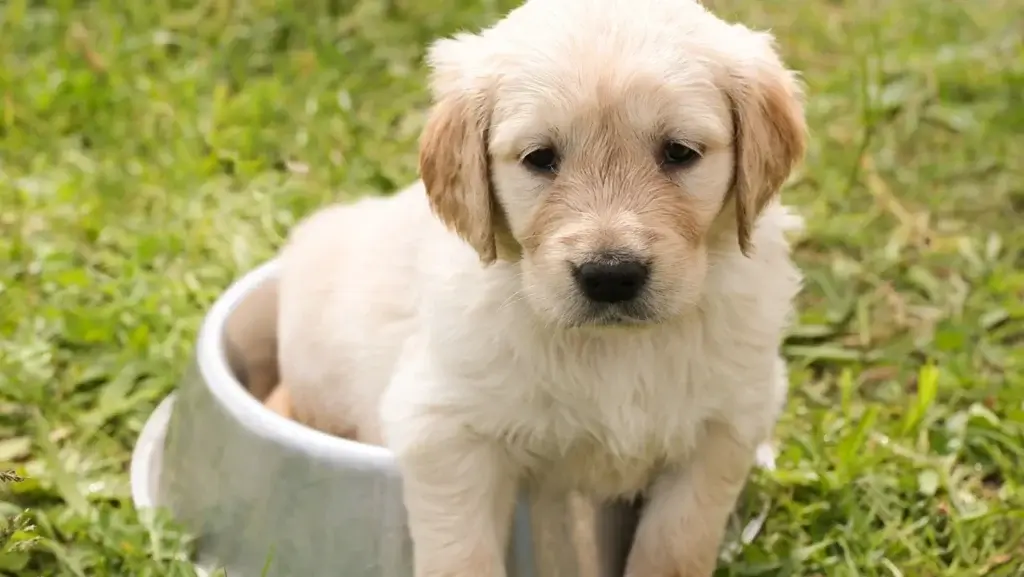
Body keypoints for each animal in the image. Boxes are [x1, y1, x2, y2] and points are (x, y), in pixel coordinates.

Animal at [276, 0, 802, 573]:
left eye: (680, 152)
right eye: (539, 158)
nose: (610, 275)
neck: (615, 350)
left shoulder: (724, 427)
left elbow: (676, 544)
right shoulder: (445, 429)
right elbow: (462, 555)